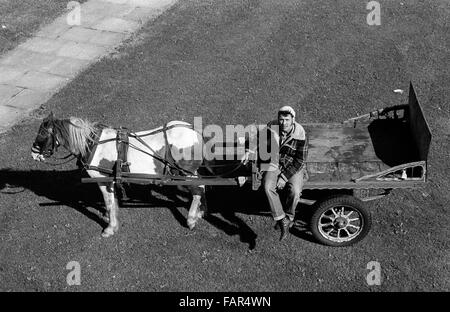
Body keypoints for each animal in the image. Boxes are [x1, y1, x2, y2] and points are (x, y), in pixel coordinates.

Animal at [30, 112, 208, 236]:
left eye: (42, 134)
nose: (33, 154)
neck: (93, 144)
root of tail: (195, 132)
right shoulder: (111, 180)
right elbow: (112, 202)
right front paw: (112, 220)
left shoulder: (103, 180)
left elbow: (109, 203)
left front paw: (110, 228)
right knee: (202, 187)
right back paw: (200, 211)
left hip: (186, 172)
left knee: (199, 189)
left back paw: (191, 219)